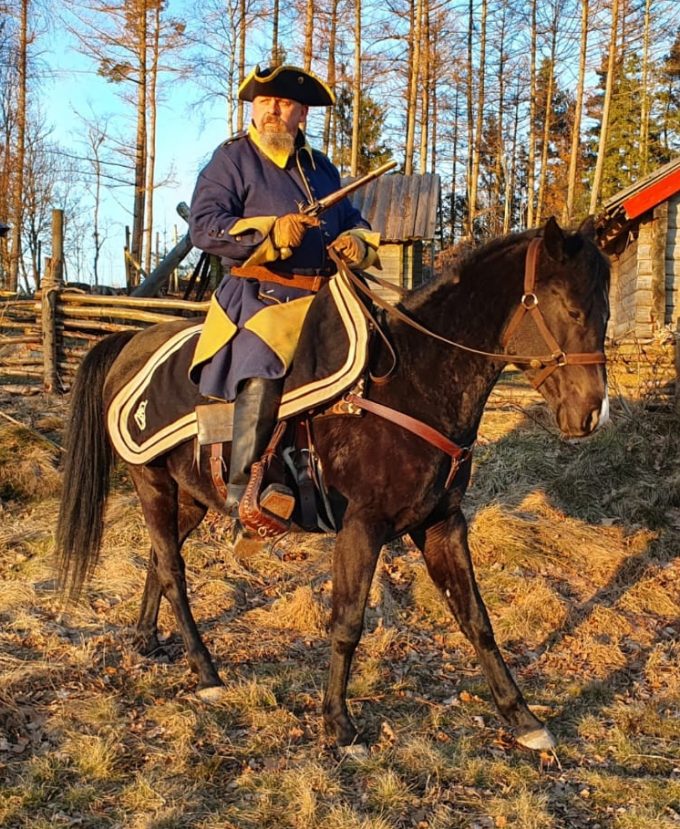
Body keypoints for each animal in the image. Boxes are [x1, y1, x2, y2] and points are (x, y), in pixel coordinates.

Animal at [55, 217, 612, 752]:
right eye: (570, 309)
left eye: (604, 313)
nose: (590, 416)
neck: (411, 384)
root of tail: (131, 343)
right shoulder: (362, 528)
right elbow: (347, 625)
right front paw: (338, 725)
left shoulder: (442, 524)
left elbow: (476, 619)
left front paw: (523, 719)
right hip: (151, 484)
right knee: (172, 569)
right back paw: (206, 672)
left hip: (190, 497)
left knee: (158, 561)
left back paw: (146, 638)